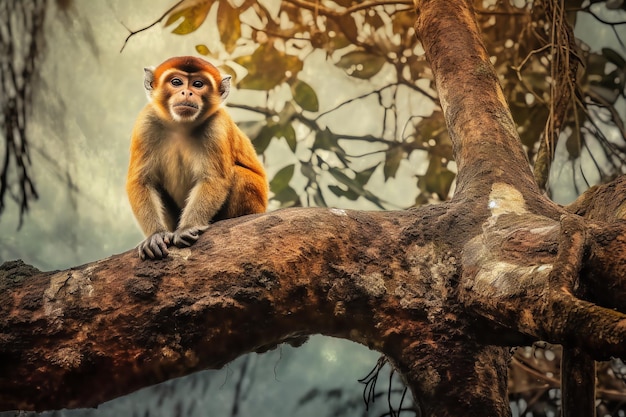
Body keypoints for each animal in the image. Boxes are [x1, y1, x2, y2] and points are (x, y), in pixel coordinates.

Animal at [124, 55, 266, 256]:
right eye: (176, 82)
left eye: (198, 84)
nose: (187, 93)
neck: (181, 126)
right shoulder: (145, 123)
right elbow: (141, 181)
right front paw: (156, 234)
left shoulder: (217, 127)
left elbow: (213, 179)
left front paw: (187, 227)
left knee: (240, 175)